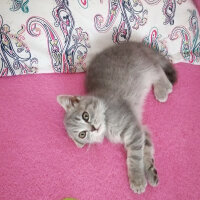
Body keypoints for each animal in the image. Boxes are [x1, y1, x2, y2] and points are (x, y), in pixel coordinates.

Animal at [56, 42, 177, 194]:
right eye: (82, 134)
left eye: (85, 116)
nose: (93, 128)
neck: (107, 124)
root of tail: (132, 43)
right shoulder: (140, 128)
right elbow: (146, 149)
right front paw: (150, 171)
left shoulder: (133, 130)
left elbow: (134, 157)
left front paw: (137, 179)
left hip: (144, 66)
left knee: (157, 69)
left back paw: (163, 88)